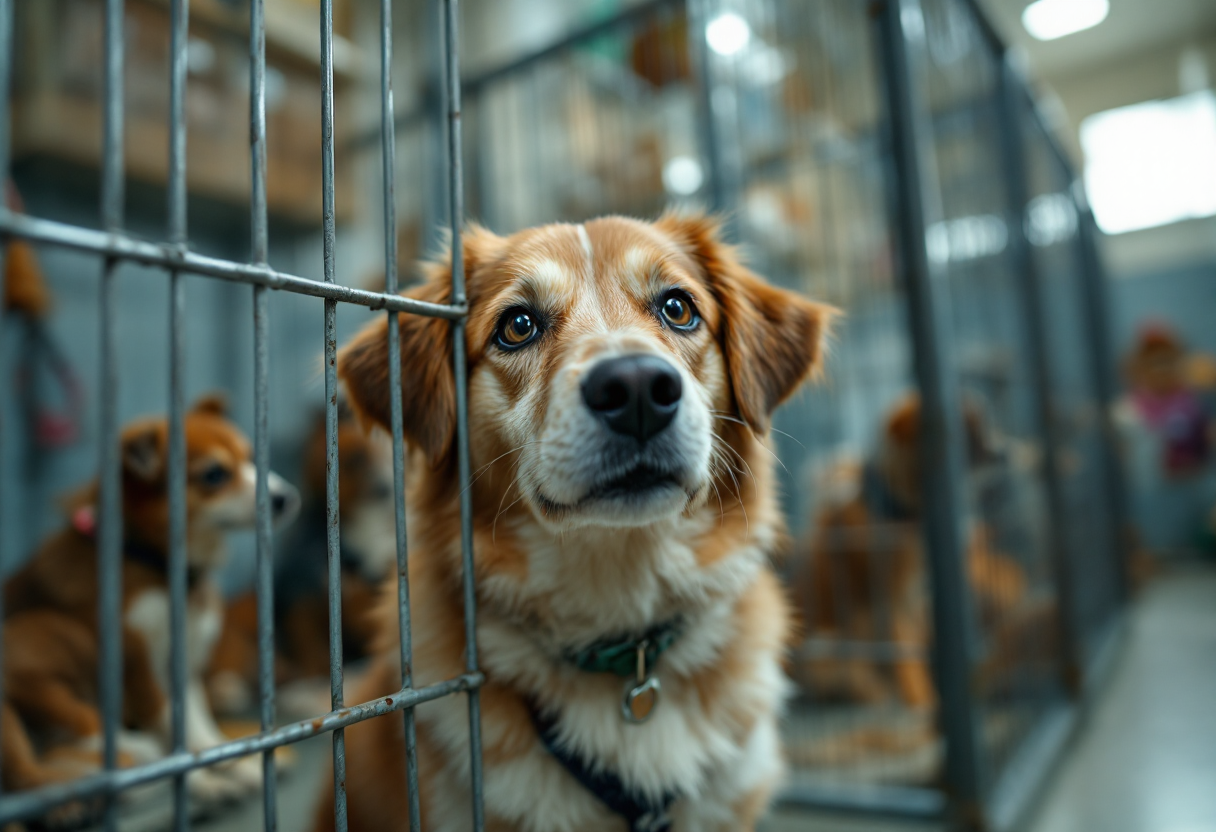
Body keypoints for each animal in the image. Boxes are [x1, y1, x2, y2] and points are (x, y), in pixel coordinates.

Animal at [2, 394, 301, 807]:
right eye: (214, 475)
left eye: (251, 457)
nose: (286, 498)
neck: (160, 568)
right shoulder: (138, 666)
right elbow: (170, 732)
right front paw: (201, 783)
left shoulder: (183, 667)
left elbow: (196, 728)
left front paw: (232, 764)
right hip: (46, 634)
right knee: (86, 728)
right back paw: (136, 755)